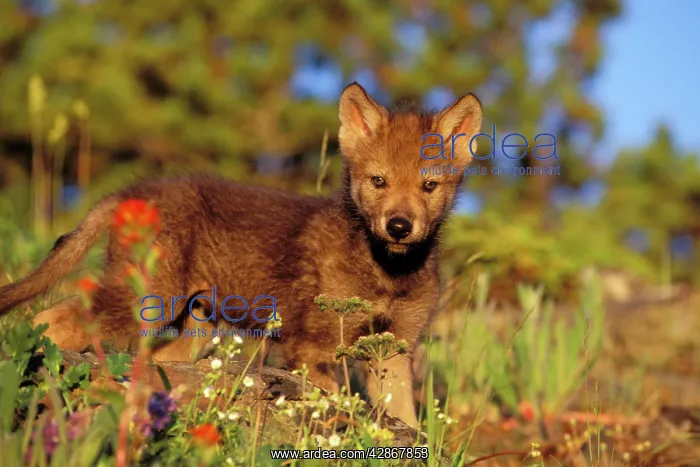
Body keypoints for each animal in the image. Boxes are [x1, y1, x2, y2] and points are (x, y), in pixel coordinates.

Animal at [0, 82, 482, 428]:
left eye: (429, 186)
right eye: (378, 181)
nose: (399, 226)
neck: (387, 270)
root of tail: (130, 192)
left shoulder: (394, 348)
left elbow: (405, 420)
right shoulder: (312, 345)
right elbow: (327, 407)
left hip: (190, 326)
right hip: (144, 300)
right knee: (50, 320)